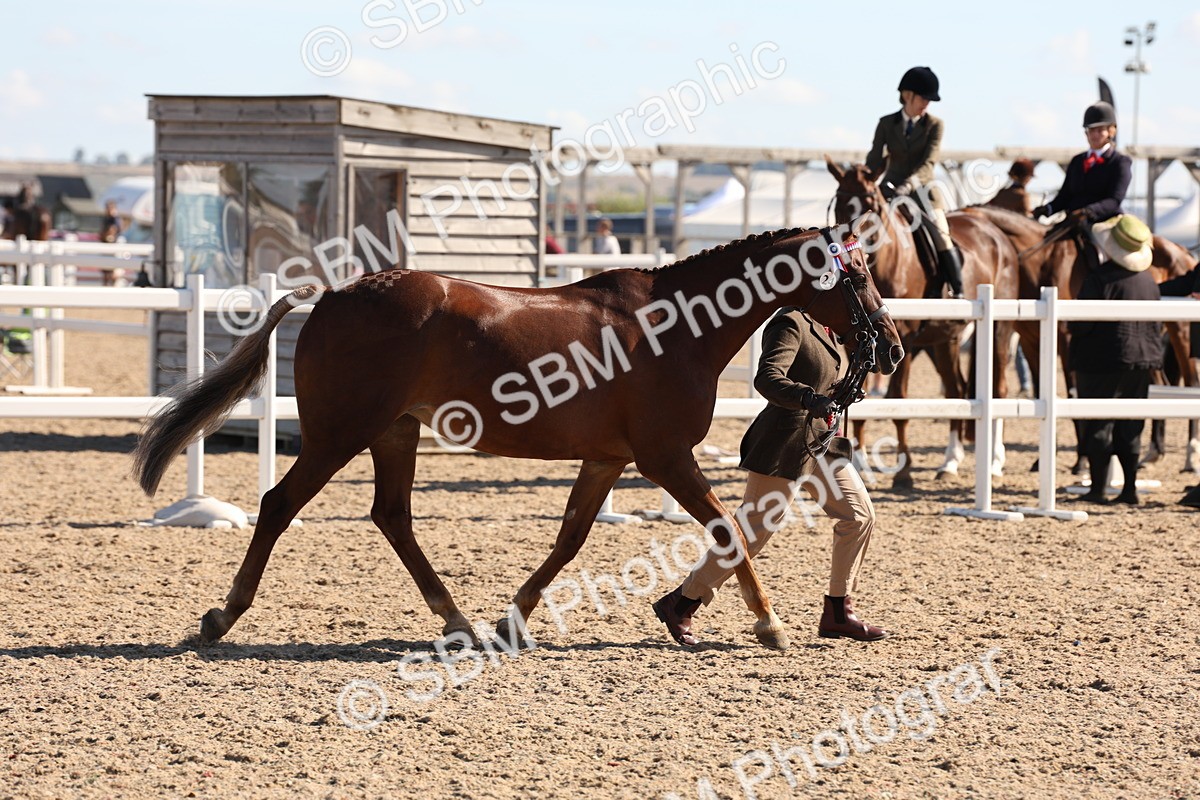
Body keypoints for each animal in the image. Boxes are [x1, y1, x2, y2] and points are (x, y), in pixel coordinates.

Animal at [132, 226, 904, 651]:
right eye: (859, 272)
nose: (892, 347)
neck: (677, 326)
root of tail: (332, 295)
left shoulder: (608, 459)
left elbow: (569, 540)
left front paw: (513, 622)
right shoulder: (664, 458)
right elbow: (726, 530)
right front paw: (769, 625)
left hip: (394, 434)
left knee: (392, 517)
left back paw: (459, 623)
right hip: (338, 434)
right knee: (278, 506)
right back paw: (220, 617)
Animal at [826, 159, 1019, 489]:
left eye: (872, 204)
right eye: (838, 205)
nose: (852, 253)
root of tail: (996, 235)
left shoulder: (902, 339)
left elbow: (898, 401)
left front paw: (904, 470)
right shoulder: (861, 342)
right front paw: (860, 463)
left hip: (998, 330)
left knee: (999, 389)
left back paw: (994, 463)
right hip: (944, 340)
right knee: (956, 389)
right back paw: (950, 462)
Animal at [964, 205, 1200, 474]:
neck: (1041, 262)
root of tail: (1183, 251)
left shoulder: (1067, 340)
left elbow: (1072, 394)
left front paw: (1082, 461)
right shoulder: (1031, 341)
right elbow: (1041, 391)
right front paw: (1043, 460)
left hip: (1181, 331)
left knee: (1191, 381)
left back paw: (1191, 457)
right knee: (1159, 384)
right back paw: (1153, 454)